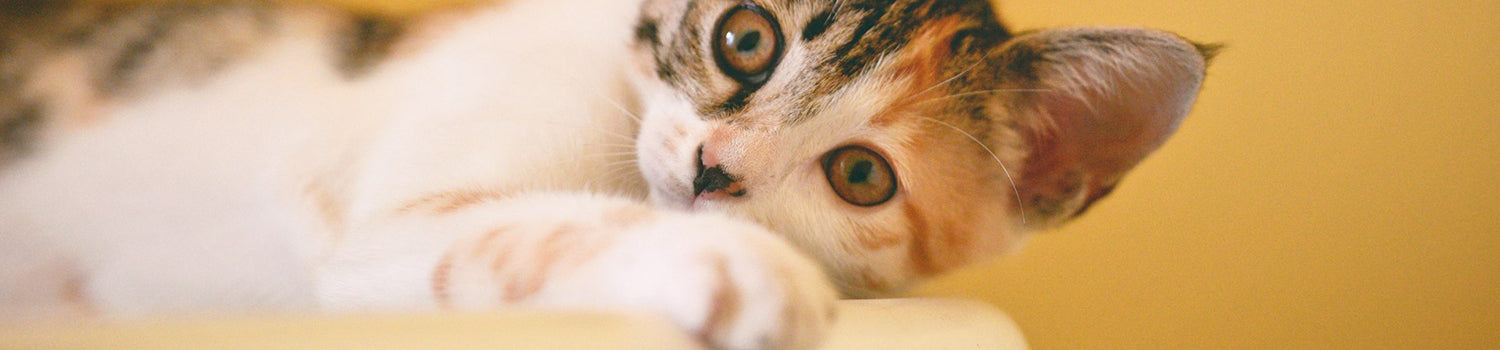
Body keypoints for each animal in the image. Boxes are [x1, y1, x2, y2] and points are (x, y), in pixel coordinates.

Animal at [0, 0, 1212, 348]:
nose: (717, 174)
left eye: (862, 176)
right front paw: (737, 267)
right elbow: (526, 224)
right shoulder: (375, 230)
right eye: (744, 39)